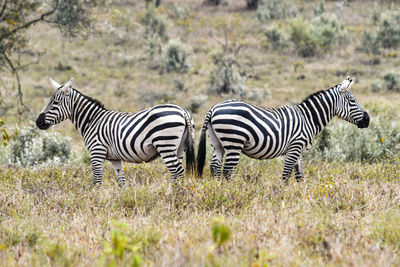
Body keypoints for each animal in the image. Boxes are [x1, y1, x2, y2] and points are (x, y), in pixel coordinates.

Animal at [36, 77, 196, 186]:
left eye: (55, 102)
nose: (38, 122)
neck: (92, 120)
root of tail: (183, 111)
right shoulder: (115, 159)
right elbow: (121, 181)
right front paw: (122, 199)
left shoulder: (97, 152)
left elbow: (97, 180)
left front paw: (97, 201)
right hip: (179, 148)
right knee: (177, 174)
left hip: (165, 145)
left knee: (178, 172)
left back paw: (177, 198)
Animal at [196, 76, 368, 183]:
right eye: (352, 101)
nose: (367, 120)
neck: (308, 118)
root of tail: (213, 108)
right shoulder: (295, 147)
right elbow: (286, 175)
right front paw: (282, 195)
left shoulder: (299, 151)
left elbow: (299, 175)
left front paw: (302, 197)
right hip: (234, 141)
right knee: (228, 170)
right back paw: (232, 191)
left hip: (217, 142)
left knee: (215, 167)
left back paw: (218, 190)